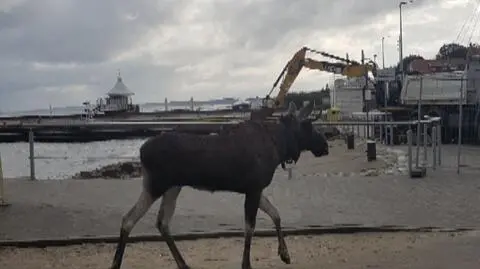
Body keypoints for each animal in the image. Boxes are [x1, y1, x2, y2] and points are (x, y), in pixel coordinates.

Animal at [109, 100, 330, 268]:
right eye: (309, 125)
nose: (325, 145)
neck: (279, 146)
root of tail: (141, 151)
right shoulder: (254, 188)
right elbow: (250, 227)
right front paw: (246, 264)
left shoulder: (254, 188)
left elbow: (275, 213)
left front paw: (284, 254)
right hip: (156, 184)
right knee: (129, 219)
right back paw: (116, 263)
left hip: (173, 187)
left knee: (161, 222)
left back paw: (183, 264)